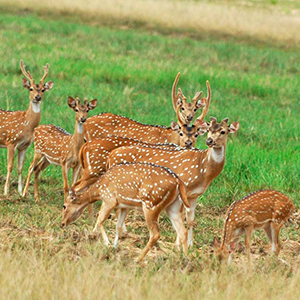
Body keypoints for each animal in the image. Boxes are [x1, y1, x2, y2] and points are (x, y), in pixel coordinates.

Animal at [0, 59, 53, 196]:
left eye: (43, 90)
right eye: (31, 88)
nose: (37, 97)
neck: (27, 124)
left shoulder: (24, 146)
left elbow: (20, 167)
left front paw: (20, 192)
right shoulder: (11, 141)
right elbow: (10, 166)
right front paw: (6, 191)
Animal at [61, 163, 190, 262]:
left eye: (64, 206)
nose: (62, 224)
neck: (98, 190)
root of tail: (178, 181)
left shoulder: (109, 199)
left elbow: (100, 220)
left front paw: (107, 244)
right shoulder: (124, 206)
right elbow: (118, 226)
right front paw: (114, 247)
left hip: (151, 204)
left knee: (155, 234)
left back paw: (138, 259)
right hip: (174, 207)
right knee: (183, 231)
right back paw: (184, 259)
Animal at [107, 116, 239, 245]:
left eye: (223, 131)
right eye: (209, 130)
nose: (209, 141)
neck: (203, 168)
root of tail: (111, 155)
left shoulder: (194, 195)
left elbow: (190, 220)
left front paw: (190, 244)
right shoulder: (184, 187)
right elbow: (181, 216)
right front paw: (178, 244)